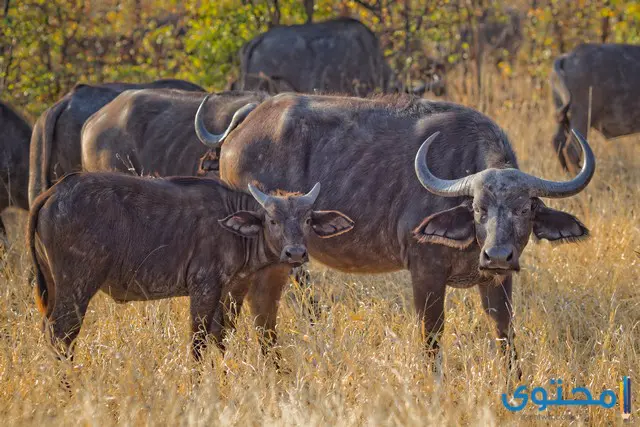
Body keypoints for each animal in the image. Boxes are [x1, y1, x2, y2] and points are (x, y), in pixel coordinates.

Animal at [28, 172, 356, 360]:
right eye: (272, 220)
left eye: (307, 220)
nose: (295, 253)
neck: (232, 228)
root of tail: (53, 192)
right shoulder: (203, 289)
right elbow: (198, 344)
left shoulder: (229, 294)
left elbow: (220, 340)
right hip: (77, 287)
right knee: (62, 337)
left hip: (54, 288)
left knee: (49, 334)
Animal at [195, 93, 596, 374]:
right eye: (478, 209)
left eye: (524, 209)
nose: (497, 255)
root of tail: (247, 120)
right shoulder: (426, 271)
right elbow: (432, 335)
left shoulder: (496, 279)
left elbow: (504, 330)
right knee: (244, 308)